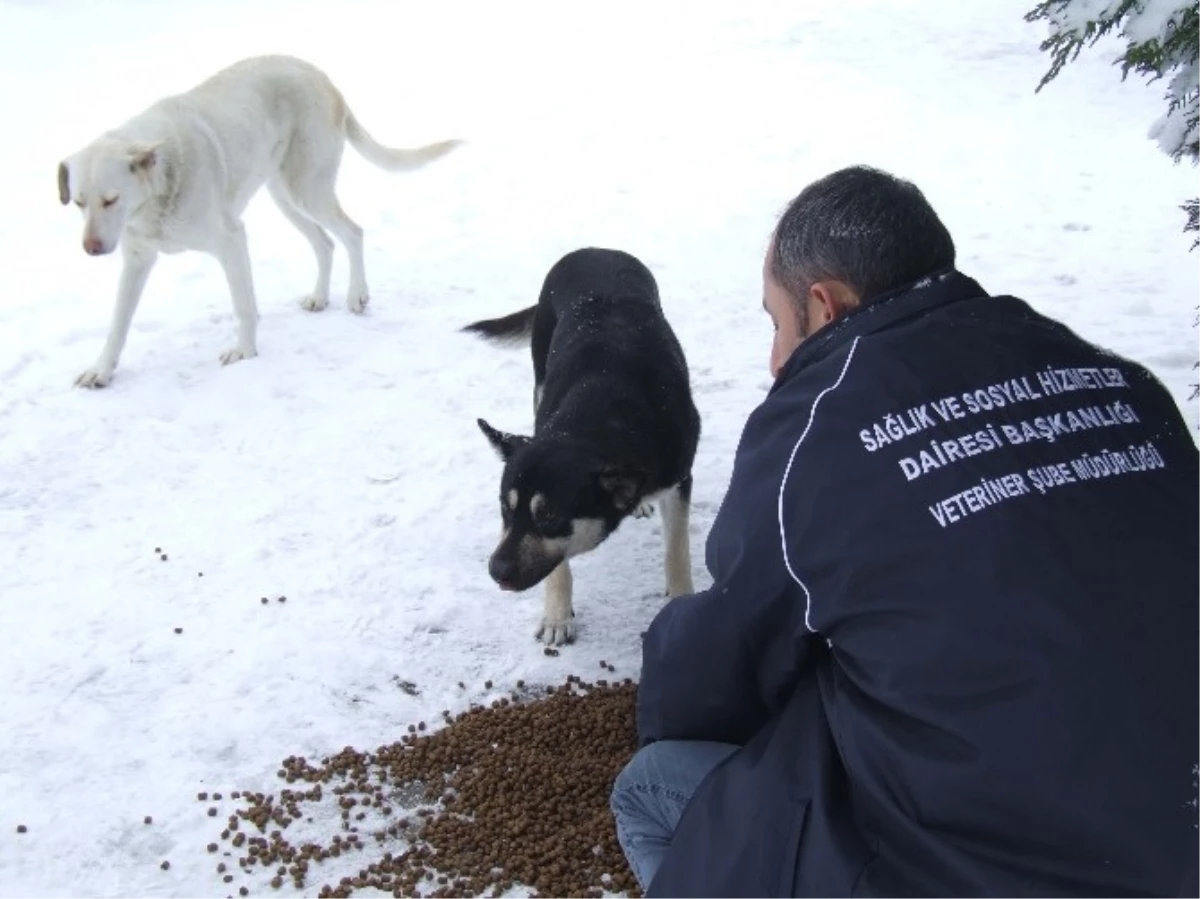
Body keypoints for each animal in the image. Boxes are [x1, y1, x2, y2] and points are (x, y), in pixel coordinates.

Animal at [59, 56, 463, 386]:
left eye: (111, 200)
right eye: (78, 202)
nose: (91, 248)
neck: (161, 182)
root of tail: (323, 77)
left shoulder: (231, 240)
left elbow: (243, 306)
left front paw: (245, 353)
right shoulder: (138, 258)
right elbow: (118, 323)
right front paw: (102, 370)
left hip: (308, 189)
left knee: (353, 233)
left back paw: (356, 295)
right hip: (284, 196)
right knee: (325, 243)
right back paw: (320, 297)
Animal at [460, 246, 700, 643]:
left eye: (550, 516)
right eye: (505, 508)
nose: (496, 570)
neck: (604, 408)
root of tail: (594, 249)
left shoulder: (679, 479)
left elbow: (676, 550)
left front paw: (681, 600)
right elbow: (559, 565)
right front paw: (557, 616)